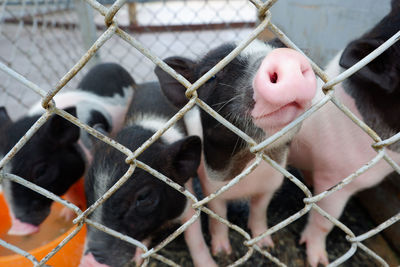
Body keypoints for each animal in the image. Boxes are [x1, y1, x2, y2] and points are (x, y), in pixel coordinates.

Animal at [79, 82, 217, 267]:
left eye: (144, 197)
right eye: (87, 190)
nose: (88, 261)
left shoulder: (188, 199)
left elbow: (195, 238)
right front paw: (139, 258)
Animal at [155, 39, 318, 255]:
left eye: (278, 48)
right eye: (211, 76)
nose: (284, 56)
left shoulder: (270, 186)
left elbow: (259, 212)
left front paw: (265, 245)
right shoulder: (211, 189)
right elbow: (219, 219)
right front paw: (222, 252)